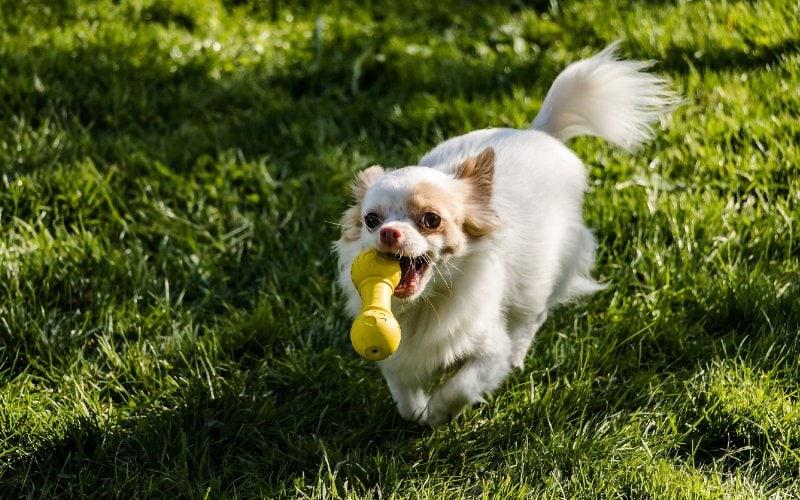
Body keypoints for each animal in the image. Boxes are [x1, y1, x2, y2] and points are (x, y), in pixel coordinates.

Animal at [332, 44, 676, 426]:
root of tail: (539, 132)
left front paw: (438, 414)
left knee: (532, 317)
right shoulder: (398, 357)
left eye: (432, 219)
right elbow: (405, 399)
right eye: (371, 220)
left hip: (541, 278)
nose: (389, 233)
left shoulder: (488, 350)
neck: (425, 305)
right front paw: (420, 413)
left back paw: (518, 356)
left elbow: (461, 386)